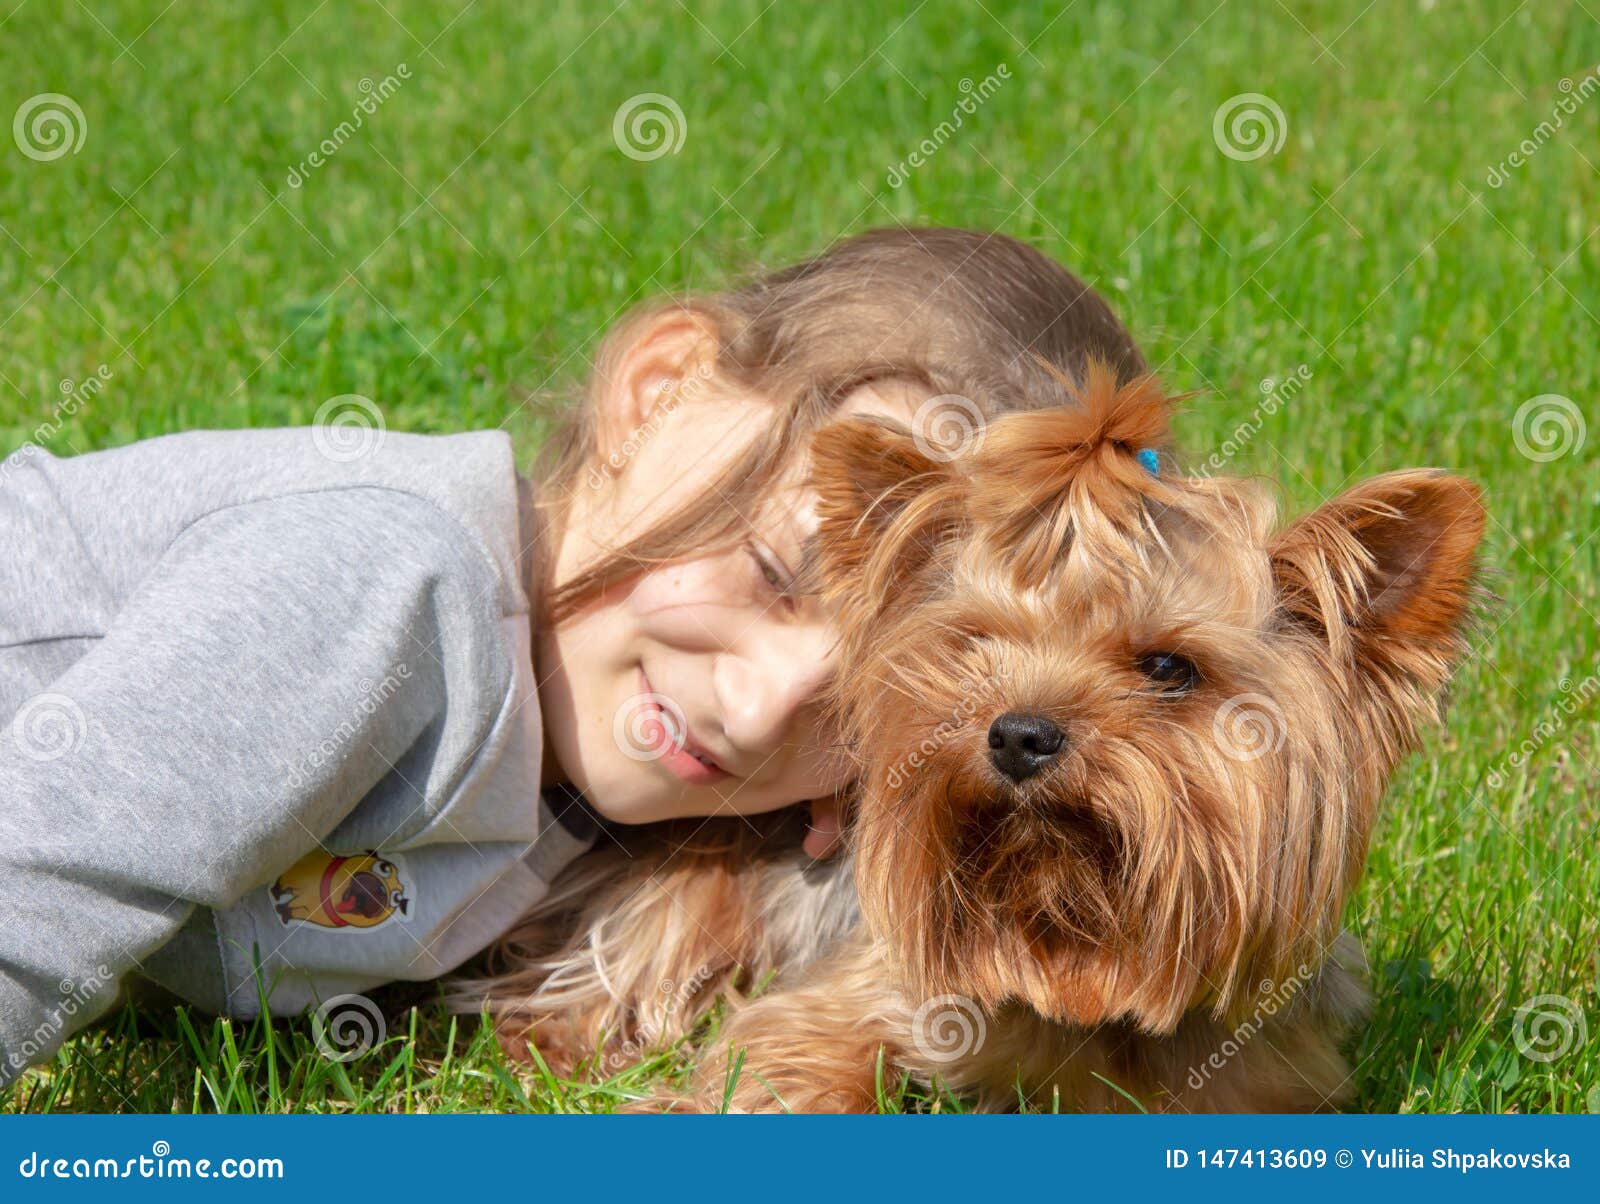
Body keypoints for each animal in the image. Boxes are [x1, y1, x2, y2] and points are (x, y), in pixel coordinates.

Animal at [476, 361, 1484, 1114]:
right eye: (976, 647)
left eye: (1168, 667)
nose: (1019, 735)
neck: (1077, 958)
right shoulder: (853, 996)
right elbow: (786, 1058)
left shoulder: (1264, 1081)